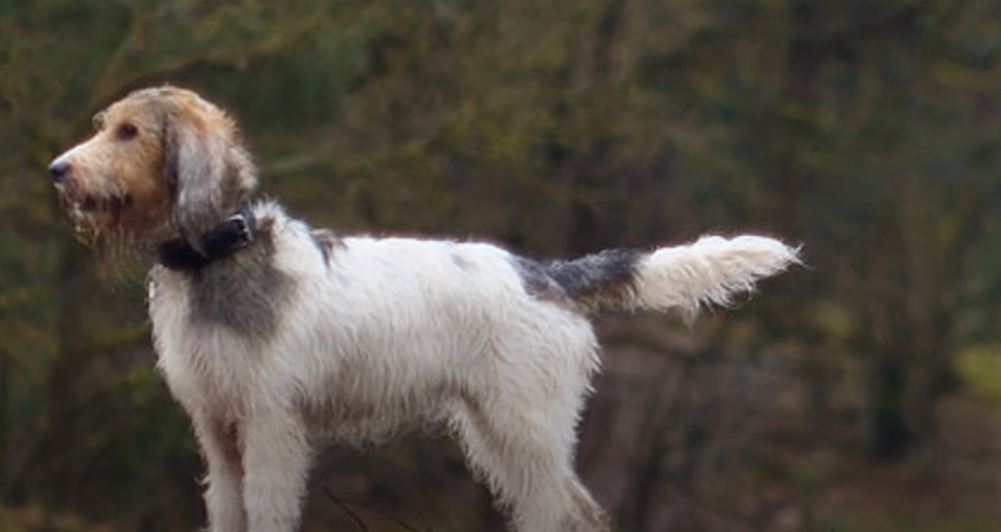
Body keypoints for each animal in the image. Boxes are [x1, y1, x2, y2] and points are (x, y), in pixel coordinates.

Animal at [48, 87, 796, 532]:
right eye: (104, 127)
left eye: (129, 132)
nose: (57, 171)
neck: (221, 255)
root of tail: (544, 275)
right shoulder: (217, 427)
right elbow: (229, 514)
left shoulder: (269, 424)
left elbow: (268, 513)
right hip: (499, 431)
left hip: (526, 428)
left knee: (570, 512)